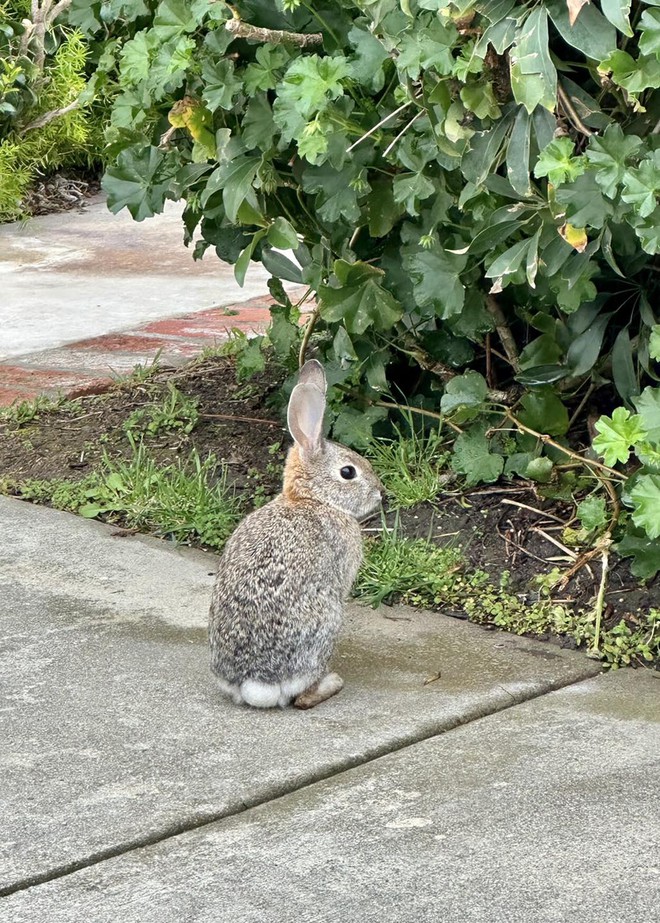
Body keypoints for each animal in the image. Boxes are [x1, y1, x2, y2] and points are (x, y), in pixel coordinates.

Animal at [206, 358, 382, 712]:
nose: (380, 494)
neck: (311, 499)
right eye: (348, 472)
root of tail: (255, 683)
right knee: (301, 698)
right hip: (327, 622)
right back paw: (332, 683)